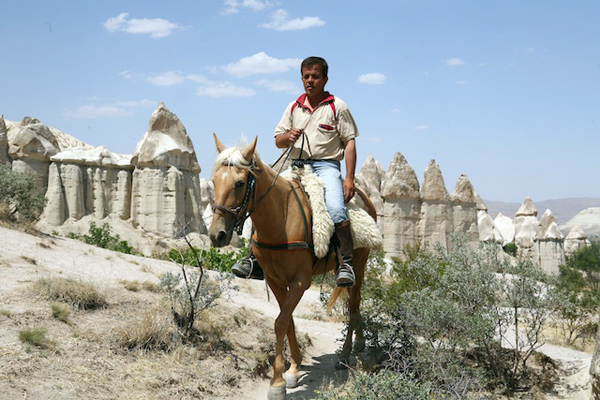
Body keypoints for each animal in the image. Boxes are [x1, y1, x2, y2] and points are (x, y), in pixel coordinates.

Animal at [206, 135, 376, 400]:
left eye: (240, 183)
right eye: (214, 181)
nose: (217, 235)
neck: (280, 221)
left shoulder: (300, 282)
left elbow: (280, 323)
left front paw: (277, 382)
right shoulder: (275, 280)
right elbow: (288, 321)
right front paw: (294, 369)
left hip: (359, 264)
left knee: (355, 304)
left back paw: (347, 353)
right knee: (351, 303)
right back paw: (357, 343)